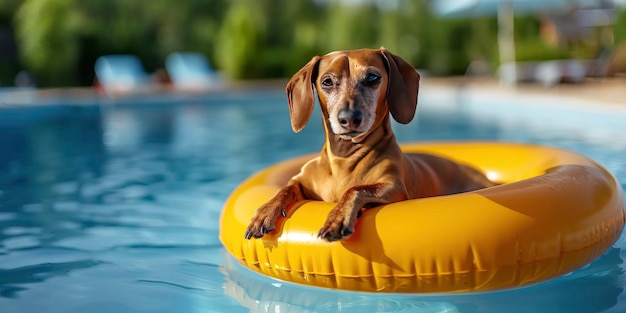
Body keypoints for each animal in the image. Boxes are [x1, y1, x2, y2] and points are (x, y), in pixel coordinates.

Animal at [241, 47, 490, 240]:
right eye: (327, 82)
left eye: (372, 78)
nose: (349, 117)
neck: (344, 159)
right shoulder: (301, 181)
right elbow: (285, 188)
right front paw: (264, 212)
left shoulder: (393, 187)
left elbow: (355, 189)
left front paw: (338, 217)